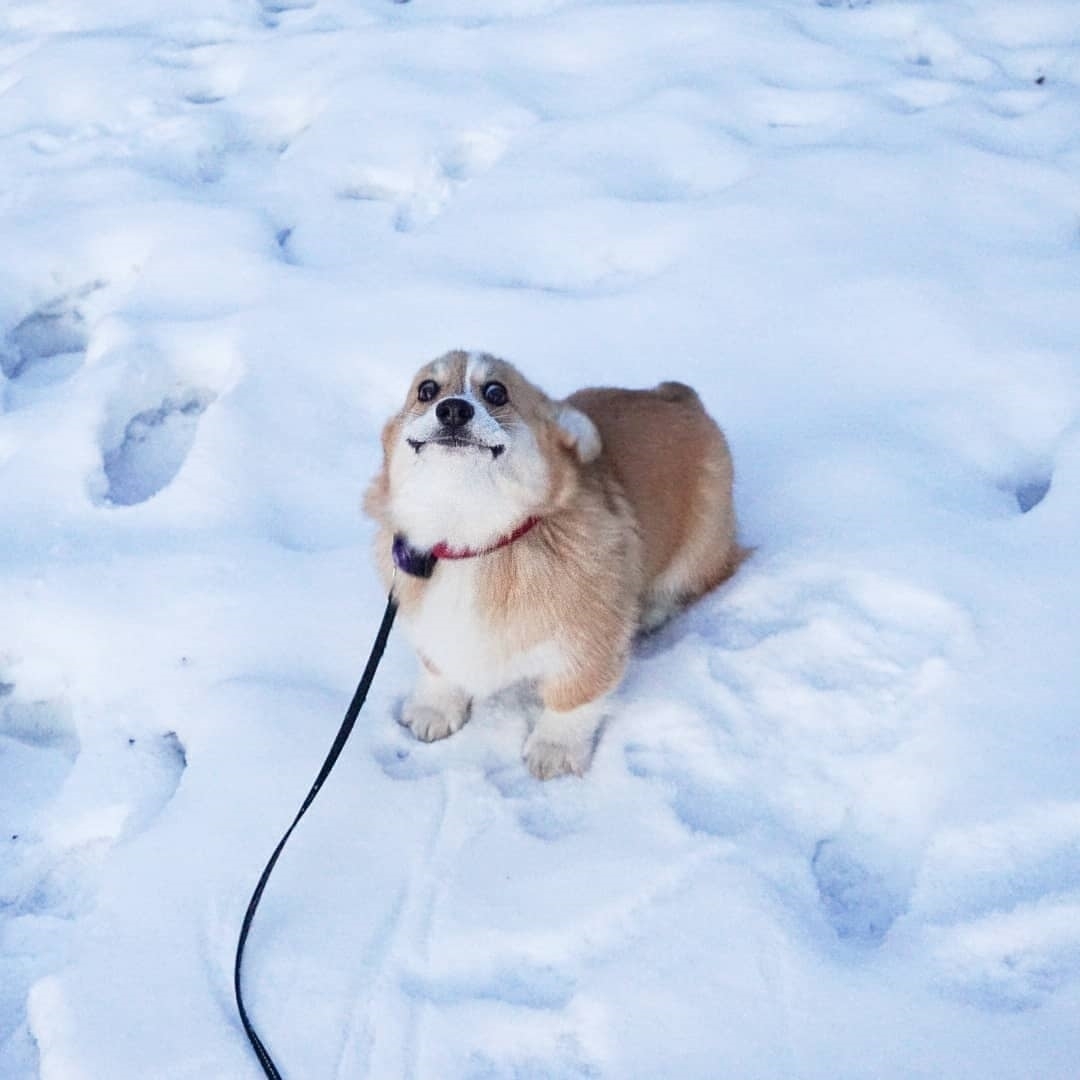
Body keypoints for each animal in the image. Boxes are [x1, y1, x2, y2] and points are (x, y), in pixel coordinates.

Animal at [362, 349, 743, 781]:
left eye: (496, 392)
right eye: (427, 390)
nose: (454, 409)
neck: (470, 537)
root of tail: (679, 396)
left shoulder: (588, 639)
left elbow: (573, 697)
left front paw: (554, 750)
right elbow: (438, 667)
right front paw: (434, 709)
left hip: (701, 541)